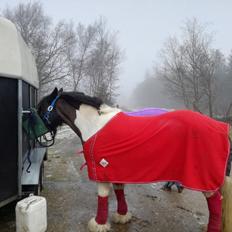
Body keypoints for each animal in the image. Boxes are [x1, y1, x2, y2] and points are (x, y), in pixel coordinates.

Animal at [37, 87, 231, 232]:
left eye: (41, 109)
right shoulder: (115, 169)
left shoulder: (102, 171)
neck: (94, 126)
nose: (38, 138)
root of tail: (221, 127)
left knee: (215, 201)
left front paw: (98, 223)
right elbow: (119, 191)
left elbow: (103, 197)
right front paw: (122, 216)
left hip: (203, 178)